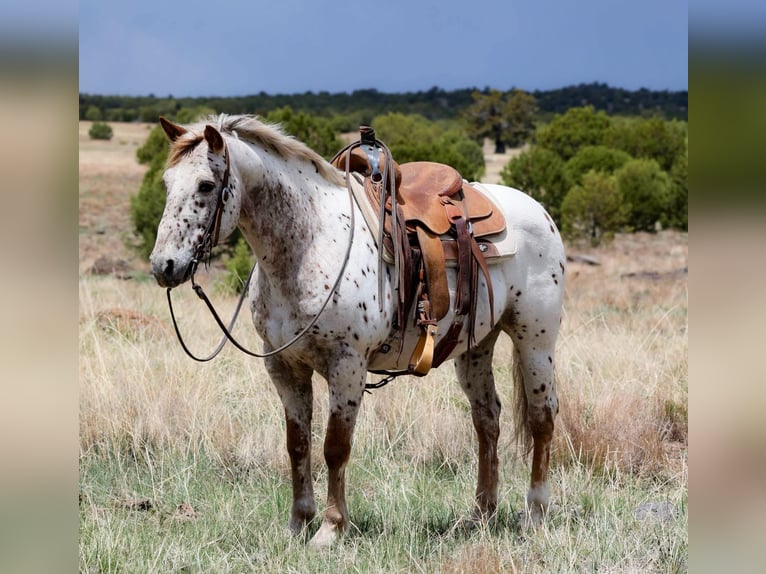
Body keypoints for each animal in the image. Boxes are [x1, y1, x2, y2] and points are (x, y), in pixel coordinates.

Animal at [150, 114, 566, 548]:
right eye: (167, 182)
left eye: (205, 185)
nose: (164, 265)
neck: (309, 244)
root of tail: (537, 210)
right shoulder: (284, 368)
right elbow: (297, 445)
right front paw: (298, 523)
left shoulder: (346, 365)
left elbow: (335, 447)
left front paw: (331, 529)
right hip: (475, 348)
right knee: (487, 419)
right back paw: (480, 514)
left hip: (535, 340)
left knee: (542, 418)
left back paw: (535, 514)